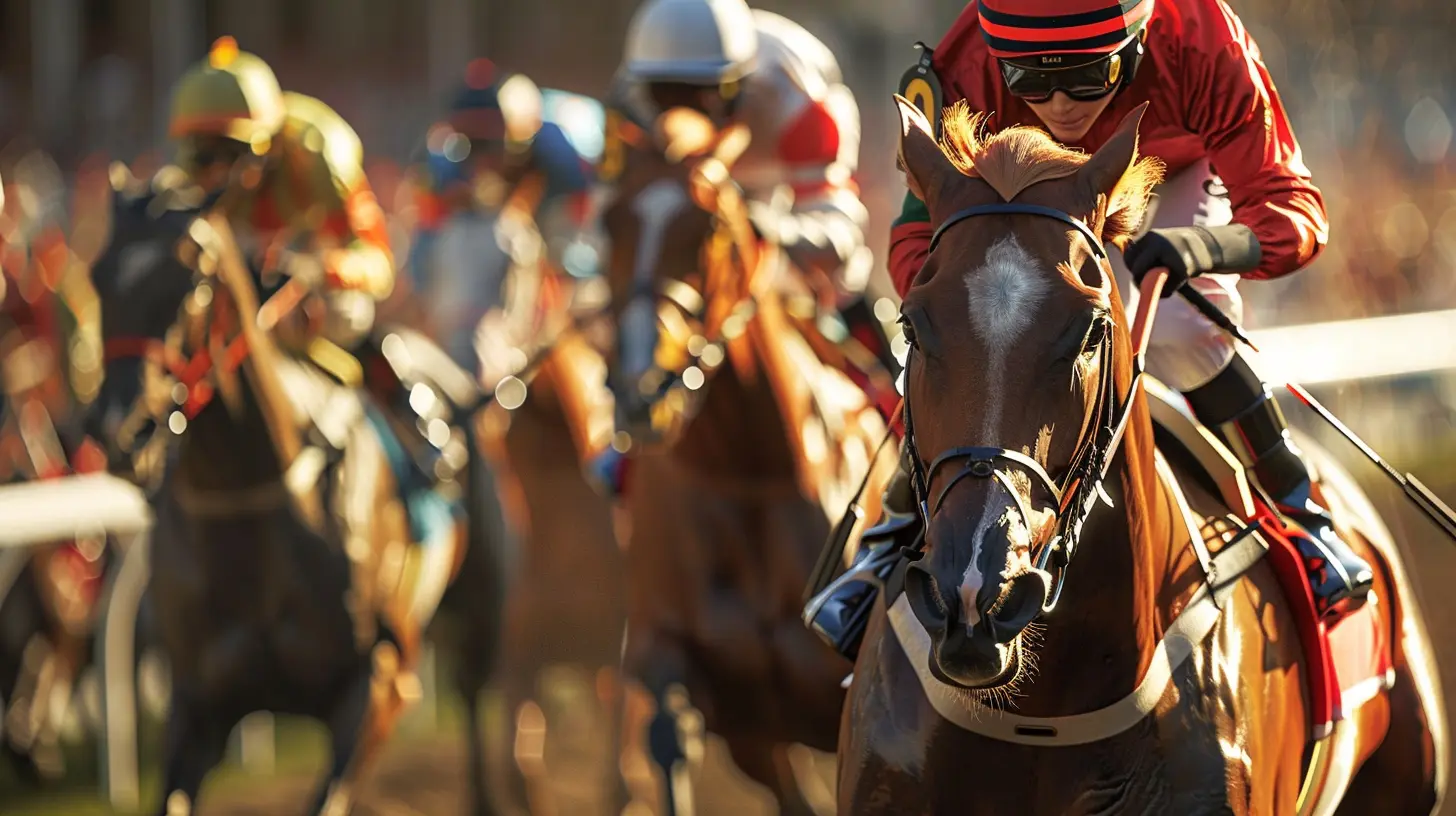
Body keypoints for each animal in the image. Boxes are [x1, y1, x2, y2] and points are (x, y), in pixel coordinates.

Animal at [85, 168, 510, 816]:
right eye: (97, 277)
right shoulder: (198, 706)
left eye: (191, 279)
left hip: (481, 603)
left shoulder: (379, 683)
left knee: (475, 694)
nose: (118, 432)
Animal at [599, 108, 897, 815]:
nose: (639, 391)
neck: (751, 471)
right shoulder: (689, 669)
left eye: (707, 225)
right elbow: (667, 732)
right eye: (608, 222)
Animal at [837, 96, 1447, 814]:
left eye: (1089, 331)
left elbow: (1286, 197)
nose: (975, 595)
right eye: (910, 323)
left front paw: (1172, 252)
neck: (1039, 714)